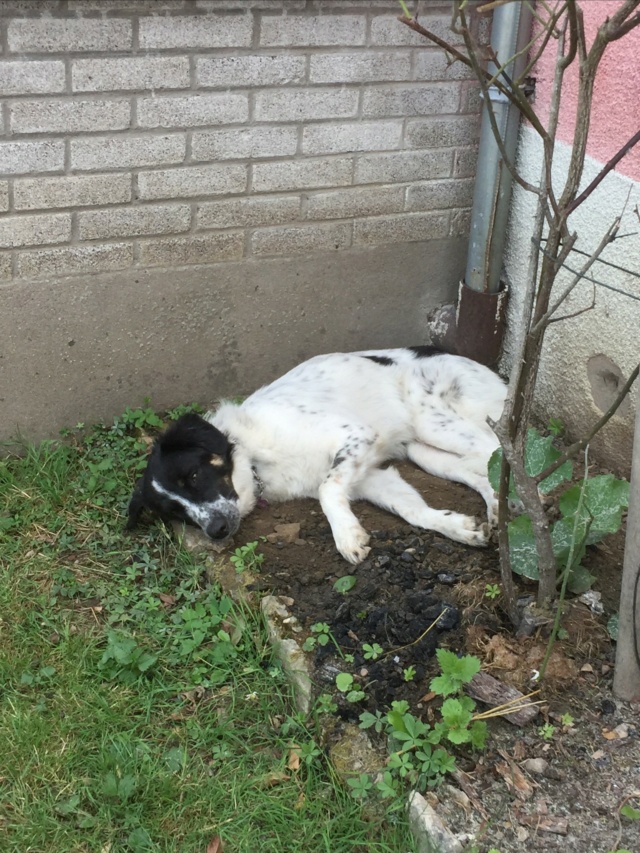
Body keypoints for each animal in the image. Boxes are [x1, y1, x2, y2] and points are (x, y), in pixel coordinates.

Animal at [126, 348, 504, 564]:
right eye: (176, 512)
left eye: (192, 476)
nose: (216, 530)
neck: (255, 458)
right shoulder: (369, 476)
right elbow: (412, 510)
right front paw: (458, 527)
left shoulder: (357, 435)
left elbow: (327, 489)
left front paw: (346, 536)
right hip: (424, 451)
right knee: (486, 472)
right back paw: (497, 510)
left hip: (434, 421)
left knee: (500, 452)